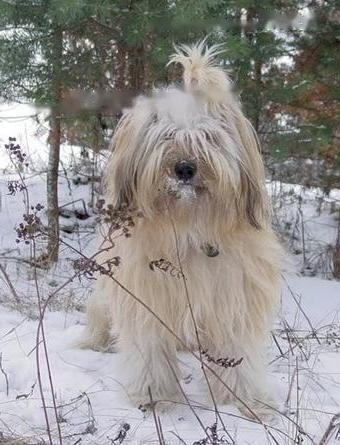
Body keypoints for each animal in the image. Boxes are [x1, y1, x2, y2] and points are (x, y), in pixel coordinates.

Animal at [81, 40, 282, 416]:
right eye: (167, 136)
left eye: (209, 138)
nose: (185, 168)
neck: (191, 229)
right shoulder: (147, 303)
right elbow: (150, 356)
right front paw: (154, 398)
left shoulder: (234, 304)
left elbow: (239, 358)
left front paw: (245, 403)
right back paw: (93, 341)